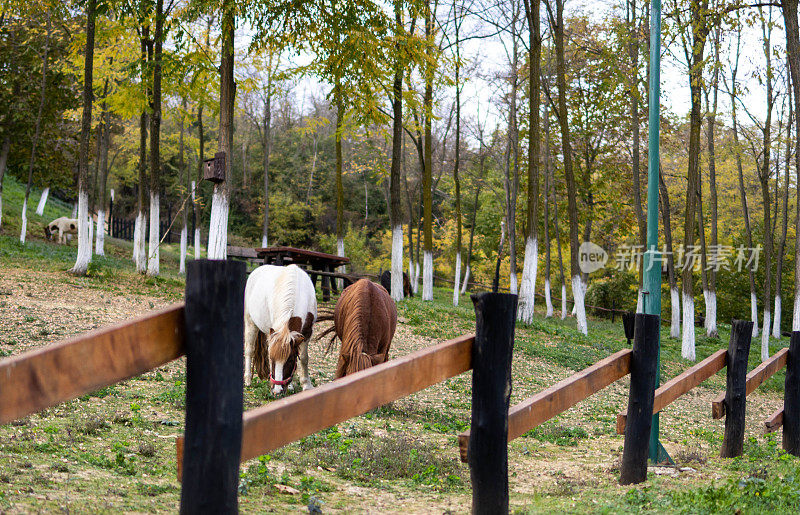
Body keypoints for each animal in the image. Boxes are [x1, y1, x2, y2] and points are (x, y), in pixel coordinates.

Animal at [245, 266, 318, 396]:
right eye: (272, 359)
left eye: (290, 360)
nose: (277, 391)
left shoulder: (307, 333)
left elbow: (303, 358)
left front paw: (306, 385)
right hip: (250, 322)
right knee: (249, 350)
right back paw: (248, 379)